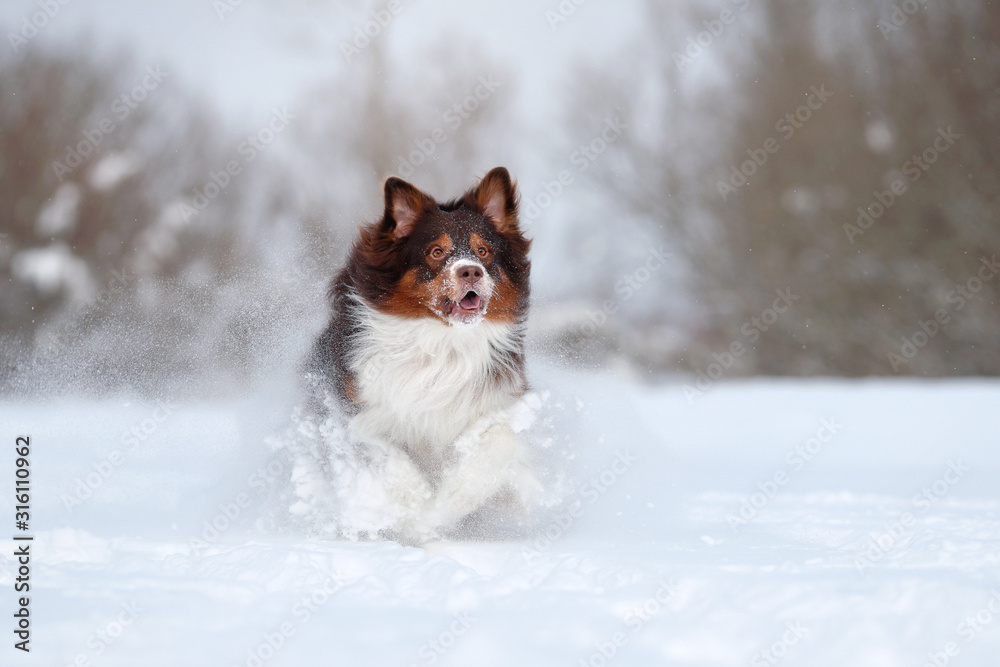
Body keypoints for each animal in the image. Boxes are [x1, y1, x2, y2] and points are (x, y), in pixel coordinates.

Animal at [308, 167, 544, 544]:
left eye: (483, 250)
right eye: (436, 252)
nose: (471, 271)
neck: (443, 343)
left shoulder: (498, 401)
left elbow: (500, 441)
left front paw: (452, 498)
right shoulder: (349, 403)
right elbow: (380, 447)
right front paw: (417, 508)